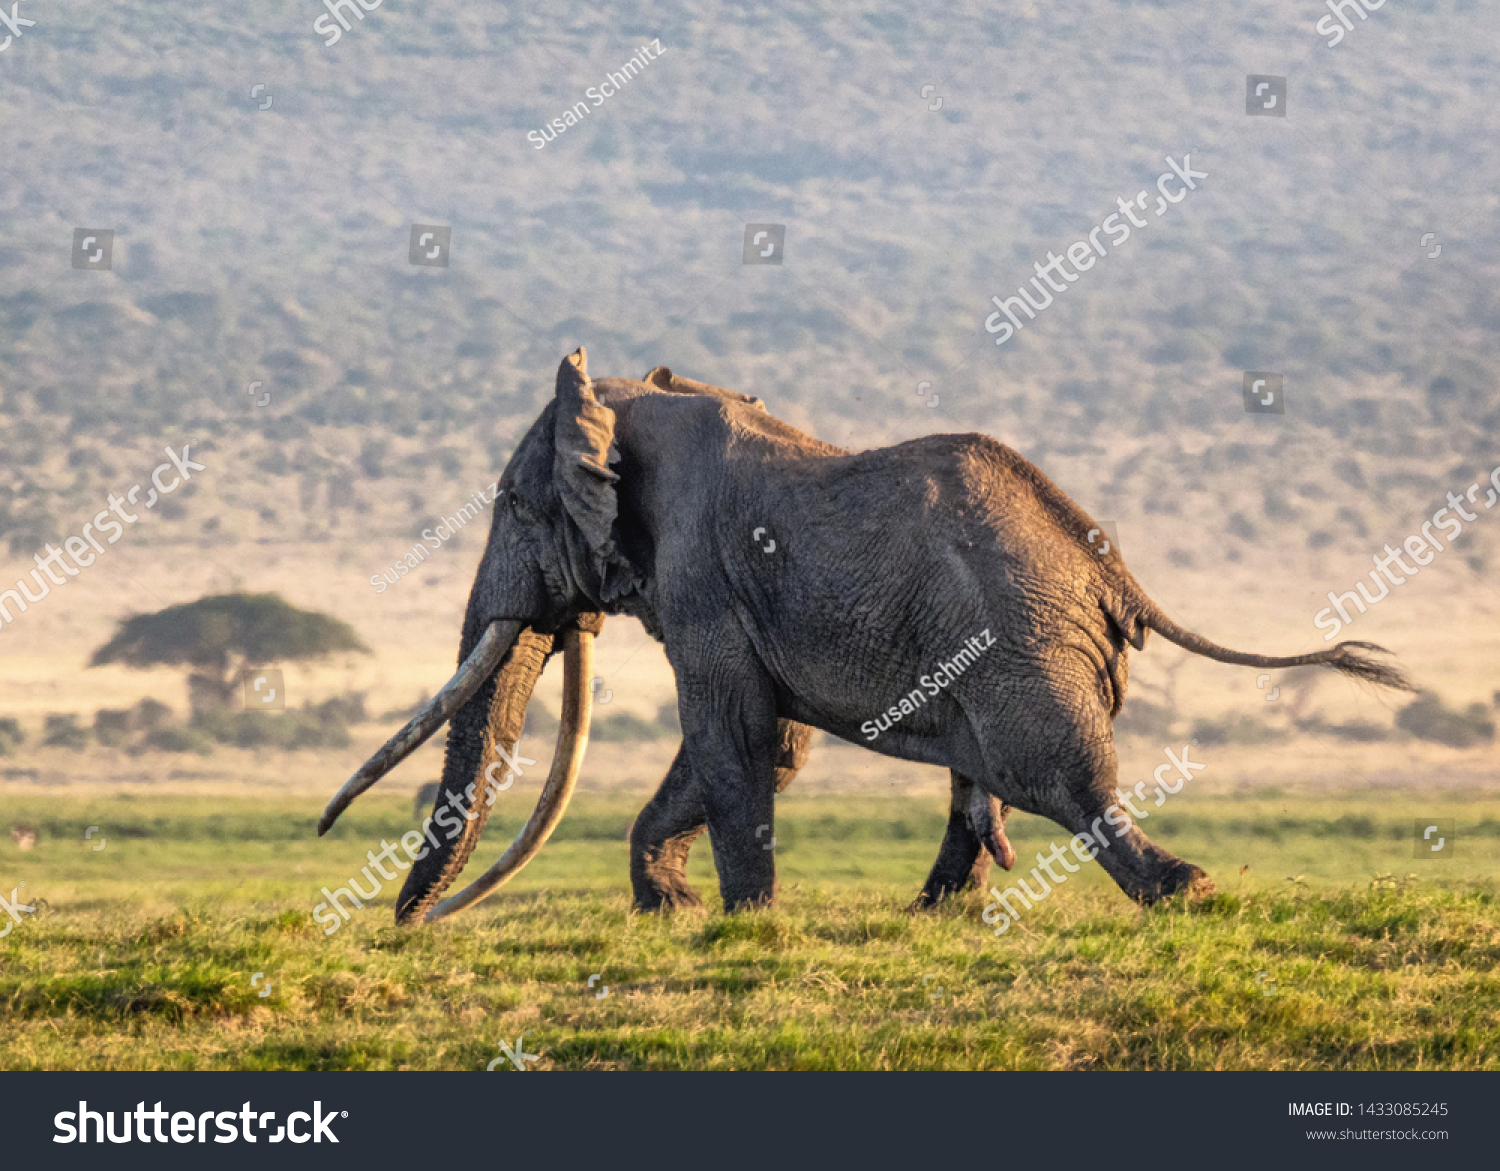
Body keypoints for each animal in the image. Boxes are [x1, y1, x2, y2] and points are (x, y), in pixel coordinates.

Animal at [322, 347, 1410, 923]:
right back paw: (935, 916)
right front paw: (672, 910)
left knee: (1055, 775)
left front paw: (742, 923)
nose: (412, 926)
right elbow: (768, 744)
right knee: (986, 781)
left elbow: (733, 737)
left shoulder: (703, 578)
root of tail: (1111, 567)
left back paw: (1184, 891)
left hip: (1017, 643)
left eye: (510, 504)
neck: (636, 401)